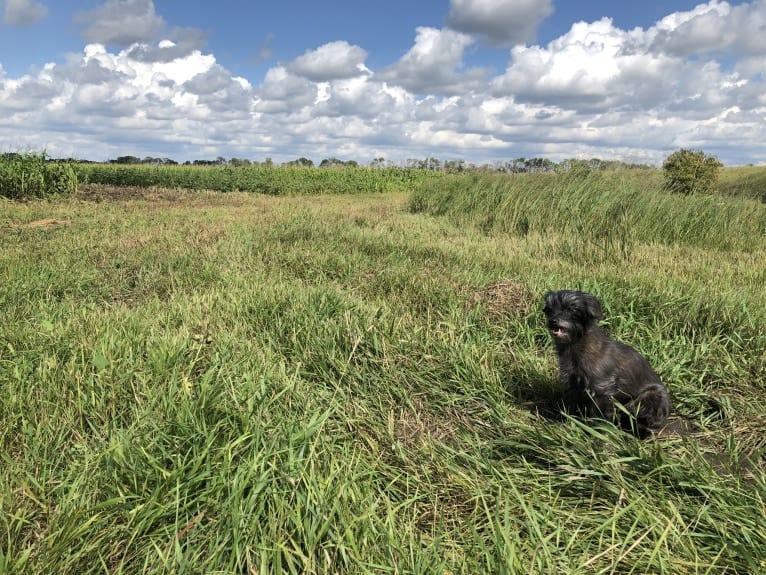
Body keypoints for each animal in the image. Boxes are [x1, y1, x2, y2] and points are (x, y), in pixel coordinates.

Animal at [544, 290, 672, 434]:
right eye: (549, 309)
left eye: (570, 309)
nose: (553, 321)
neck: (575, 345)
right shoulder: (572, 385)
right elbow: (571, 406)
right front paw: (567, 423)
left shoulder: (602, 389)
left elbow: (599, 414)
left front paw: (597, 431)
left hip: (649, 397)